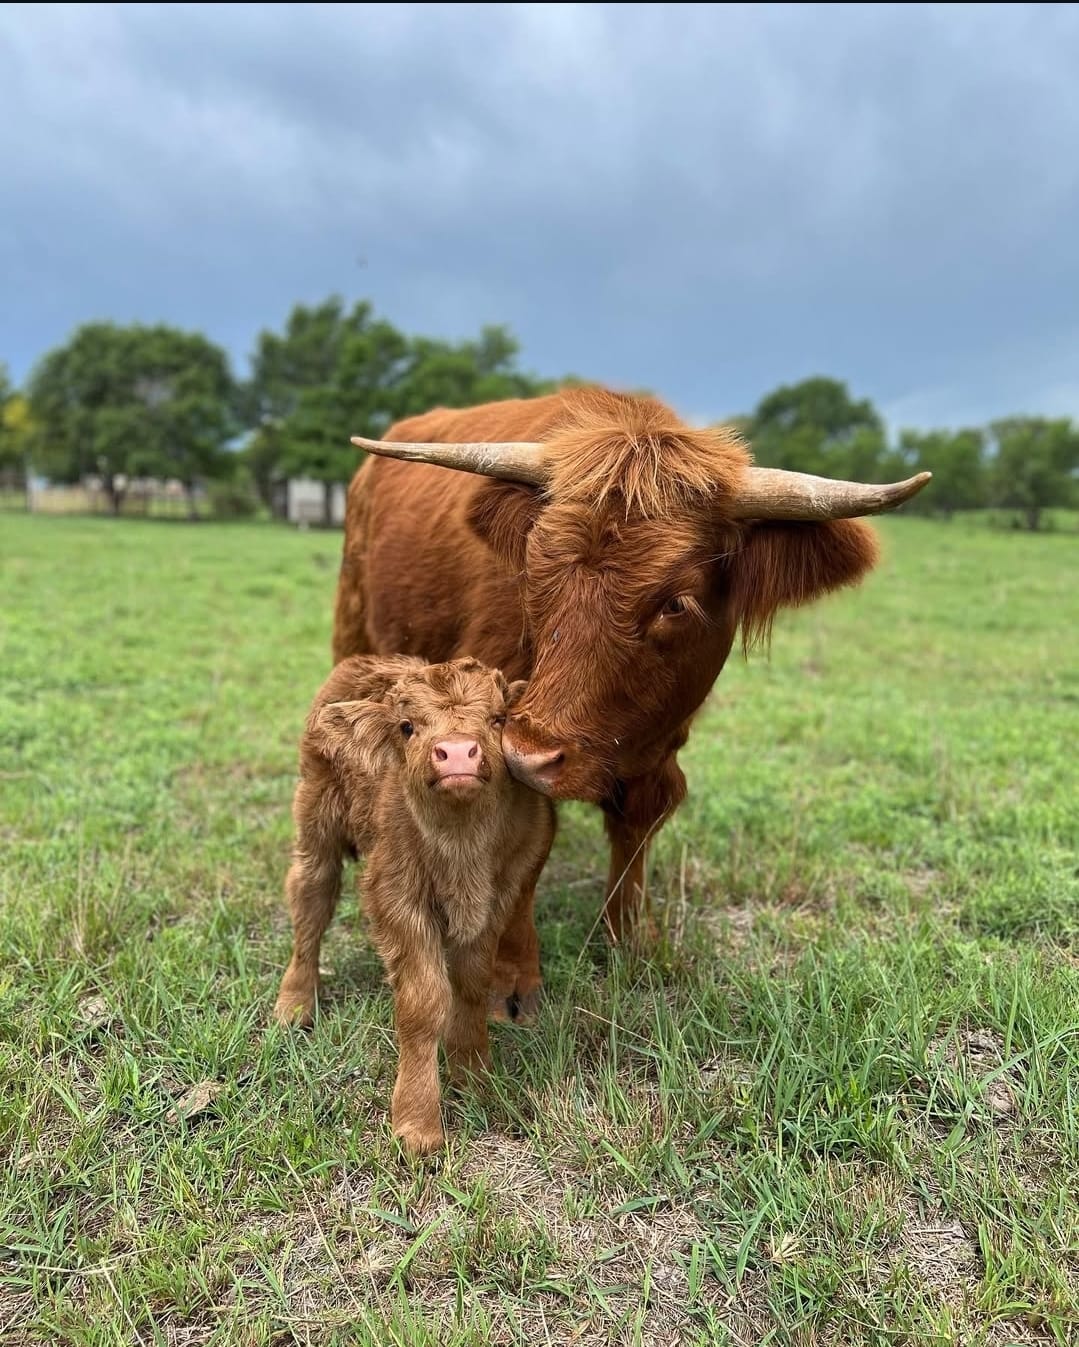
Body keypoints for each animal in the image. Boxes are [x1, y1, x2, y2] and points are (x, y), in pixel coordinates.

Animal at [274, 654, 556, 1154]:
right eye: (407, 726)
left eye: (498, 719)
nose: (458, 753)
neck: (462, 848)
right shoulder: (396, 897)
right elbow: (423, 1003)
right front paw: (418, 1124)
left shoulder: (497, 901)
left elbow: (471, 983)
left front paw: (473, 1075)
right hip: (315, 822)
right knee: (310, 901)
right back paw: (294, 1005)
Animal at [335, 386, 930, 1022]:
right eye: (534, 576)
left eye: (676, 603)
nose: (531, 754)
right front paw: (509, 978)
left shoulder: (660, 740)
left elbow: (640, 818)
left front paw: (628, 937)